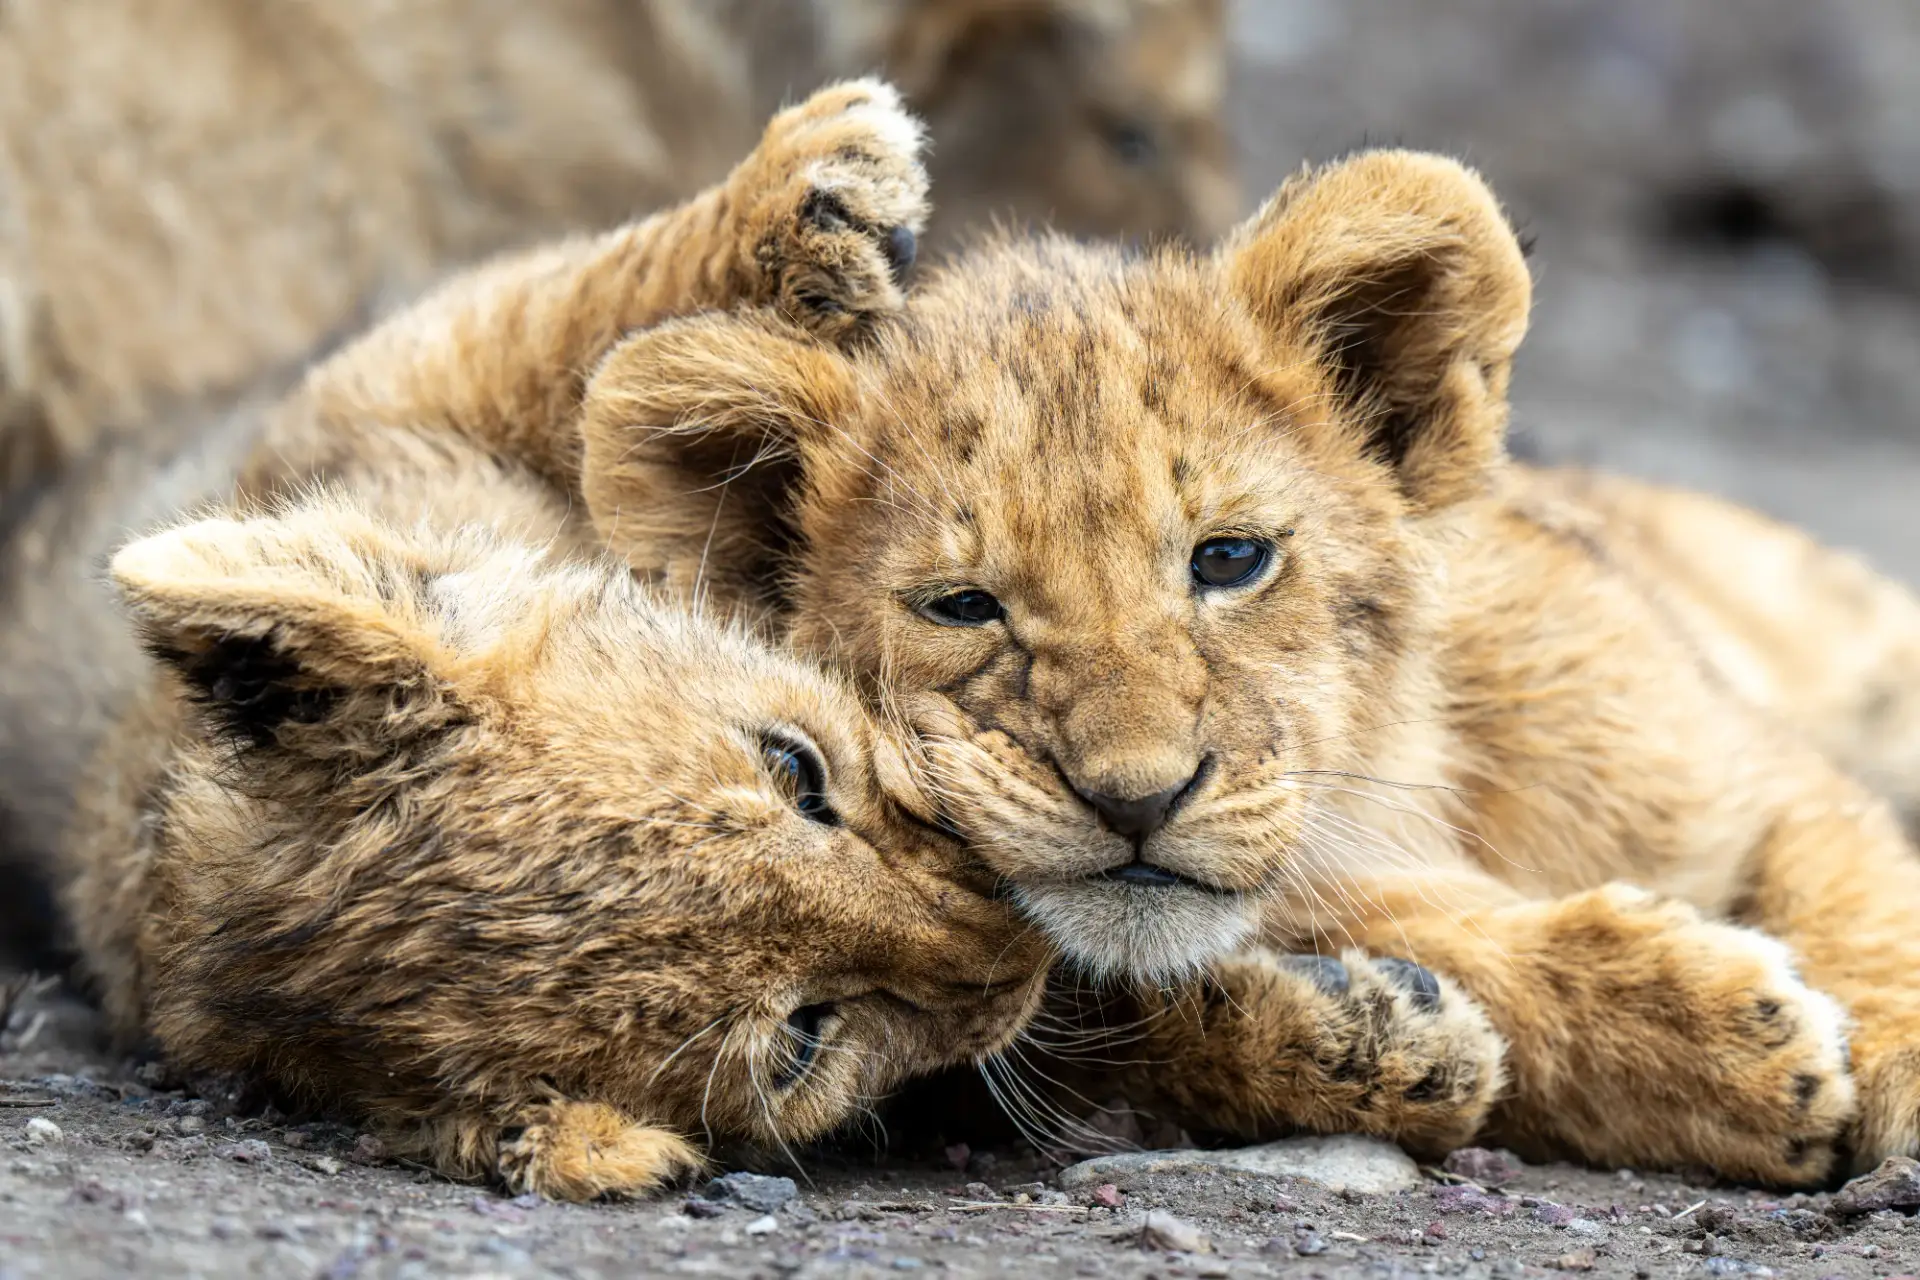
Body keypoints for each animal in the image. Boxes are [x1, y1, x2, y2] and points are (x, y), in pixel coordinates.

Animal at [552, 150, 1920, 1184]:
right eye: (962, 604)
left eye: (1230, 557)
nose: (1135, 797)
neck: (1423, 786)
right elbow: (1438, 951)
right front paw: (1725, 1043)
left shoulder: (1760, 773)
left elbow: (1870, 898)